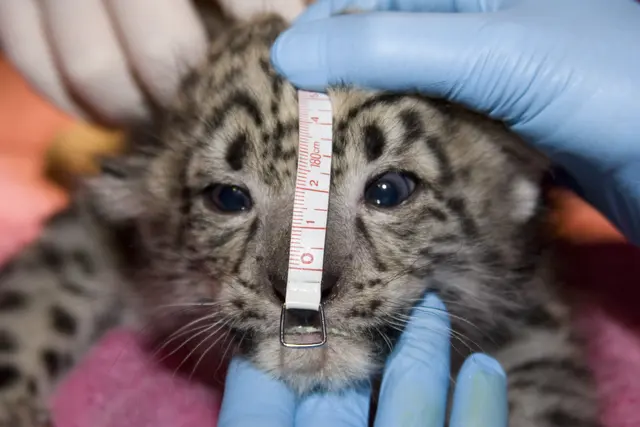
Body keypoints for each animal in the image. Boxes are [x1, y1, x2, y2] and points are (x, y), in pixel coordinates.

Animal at [0, 13, 600, 427]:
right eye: (227, 198)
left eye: (389, 190)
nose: (300, 287)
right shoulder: (89, 241)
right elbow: (29, 309)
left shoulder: (534, 322)